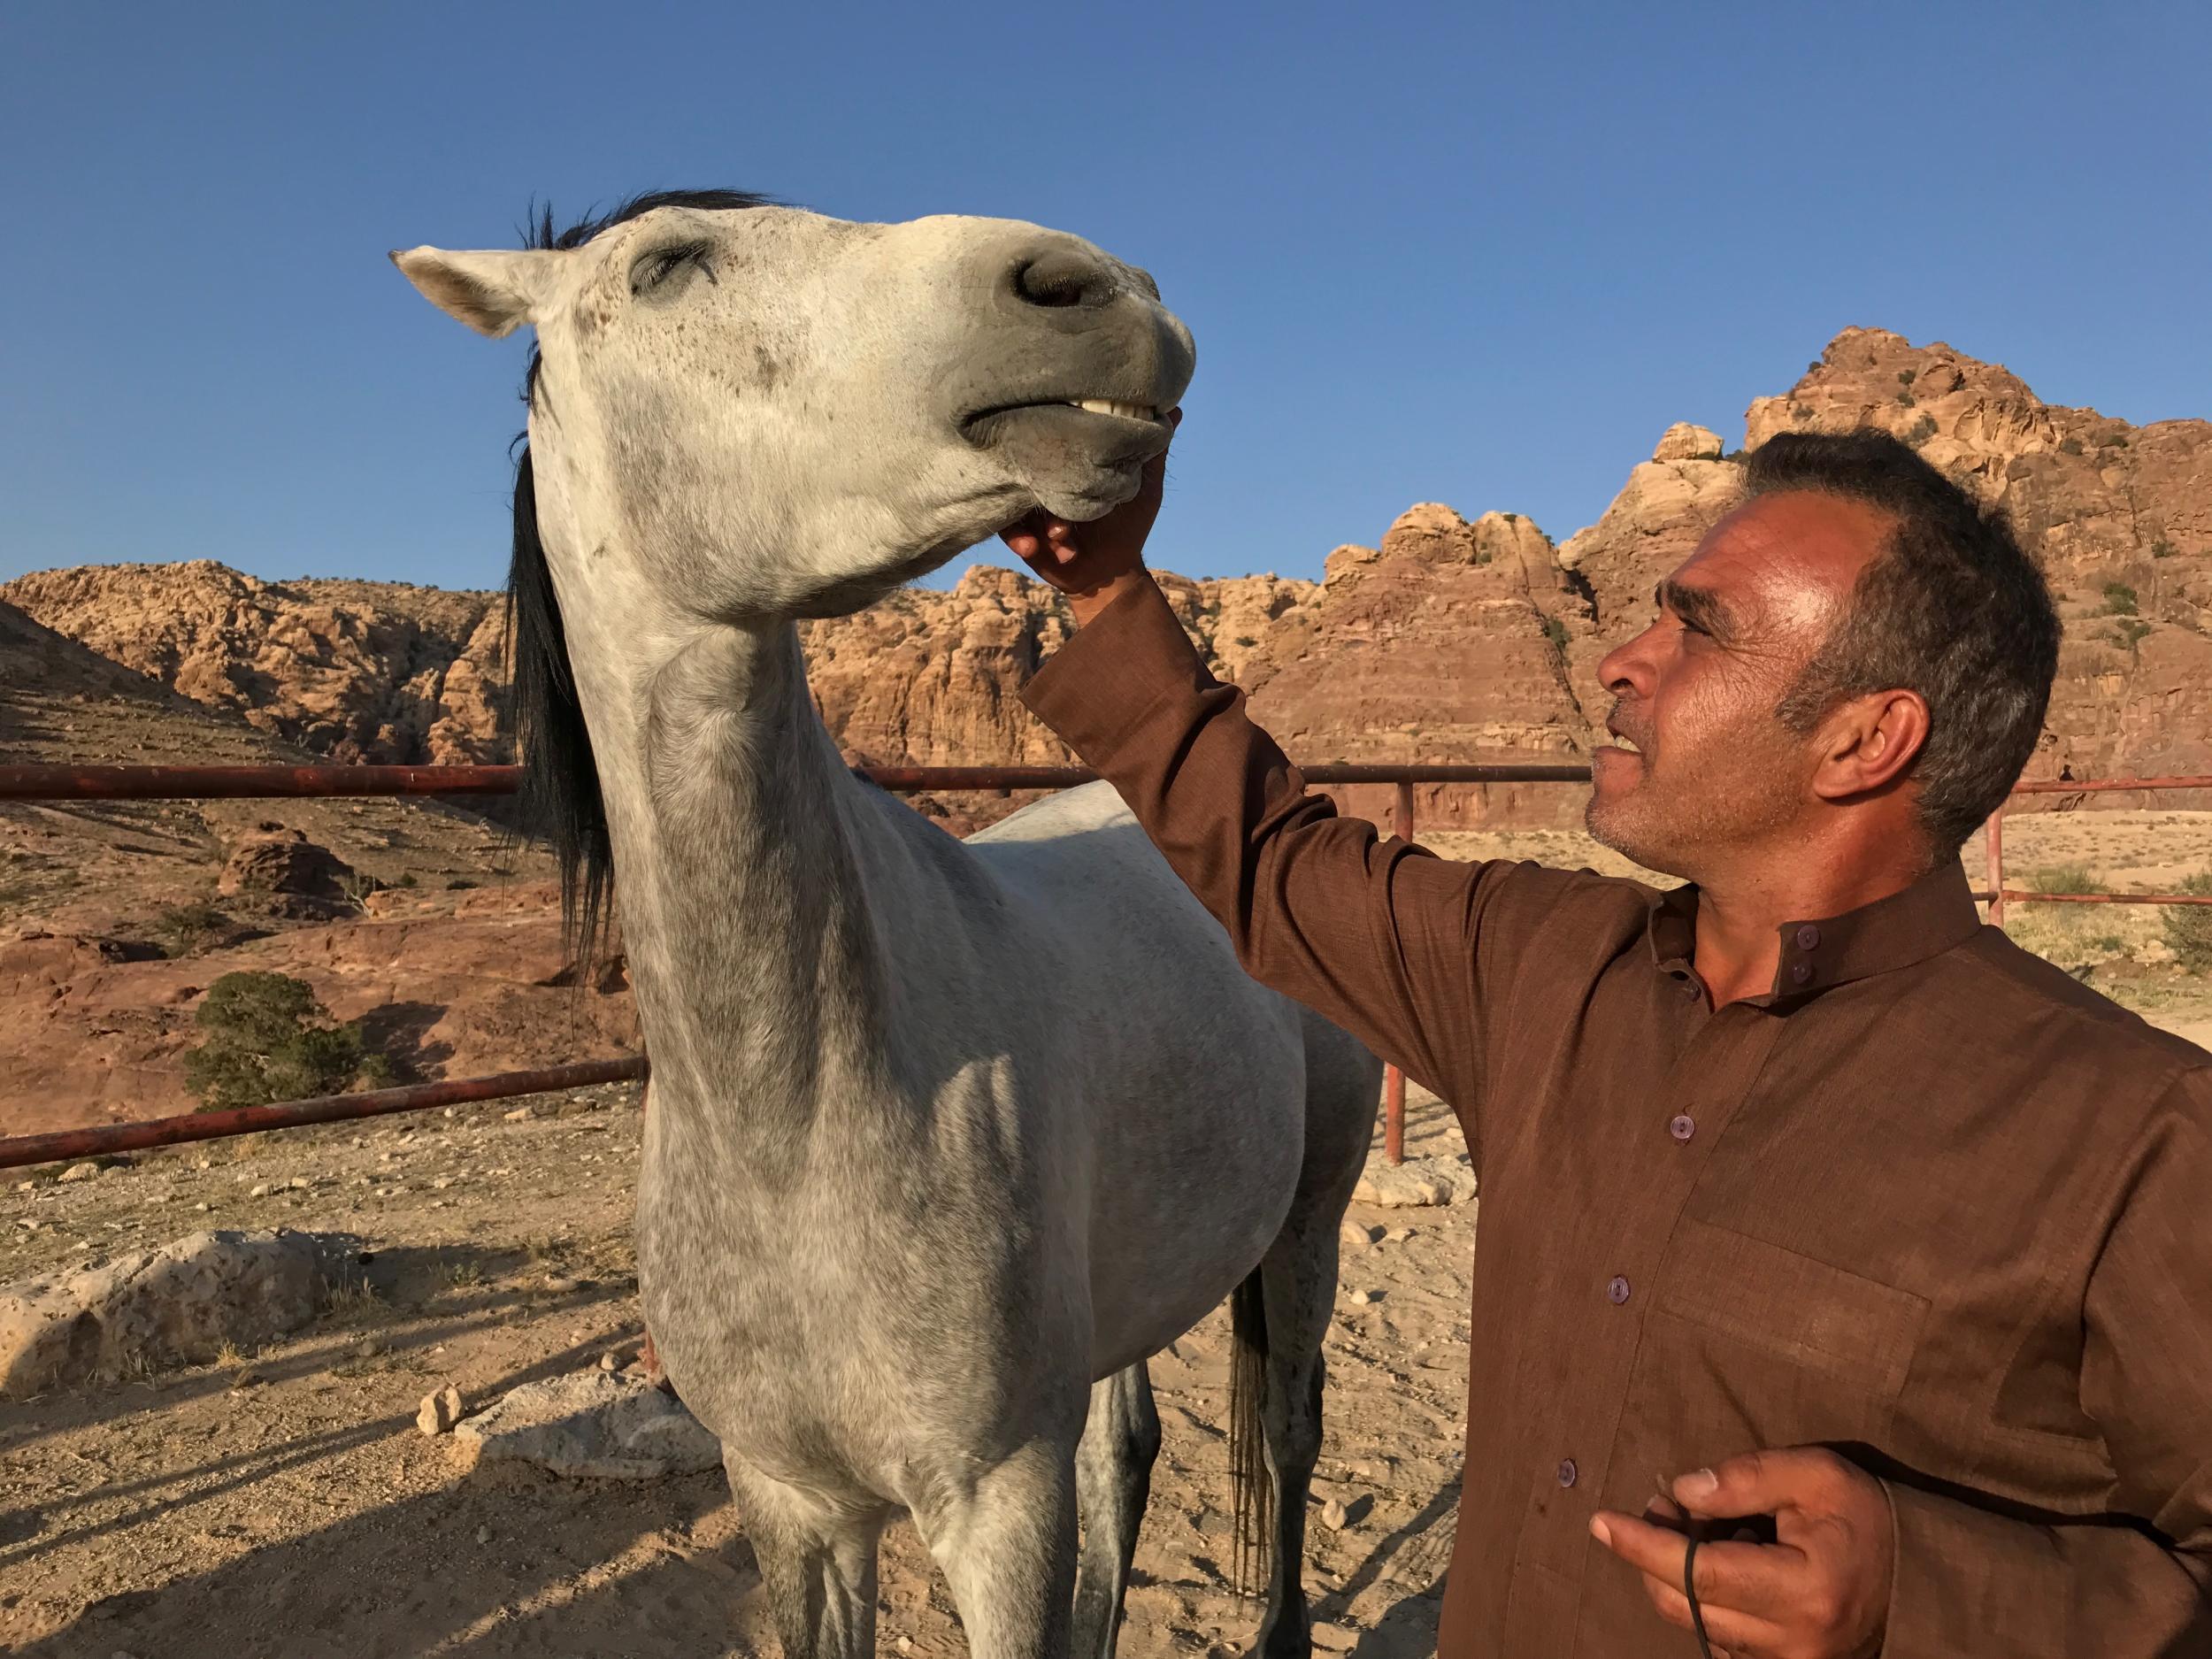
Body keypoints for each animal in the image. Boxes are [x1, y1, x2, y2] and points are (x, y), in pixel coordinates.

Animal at [389, 188, 1371, 1655]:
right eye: (665, 266)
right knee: (1127, 1447)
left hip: (1313, 1214)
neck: (799, 1113)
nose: (1103, 290)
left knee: (1295, 1432)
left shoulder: (997, 1503)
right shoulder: (791, 1505)